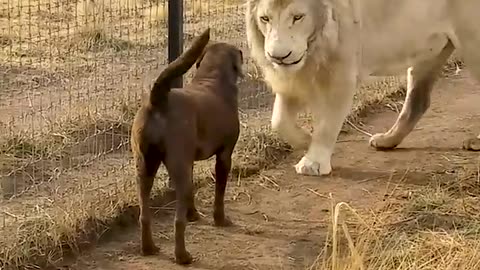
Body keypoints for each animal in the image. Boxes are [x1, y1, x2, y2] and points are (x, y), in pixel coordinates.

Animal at [129, 28, 244, 264]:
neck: (211, 78)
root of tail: (158, 100)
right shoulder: (224, 155)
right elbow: (219, 193)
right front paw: (220, 219)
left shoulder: (189, 161)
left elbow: (192, 191)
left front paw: (193, 215)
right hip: (175, 166)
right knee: (177, 221)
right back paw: (182, 256)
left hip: (144, 167)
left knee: (144, 215)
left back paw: (149, 248)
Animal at [246, 0, 480, 177]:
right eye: (265, 19)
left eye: (298, 17)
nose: (278, 56)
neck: (315, 46)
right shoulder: (294, 77)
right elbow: (279, 121)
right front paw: (305, 140)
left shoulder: (341, 74)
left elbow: (327, 125)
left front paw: (313, 163)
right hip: (429, 52)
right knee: (418, 103)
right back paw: (387, 141)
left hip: (471, 43)